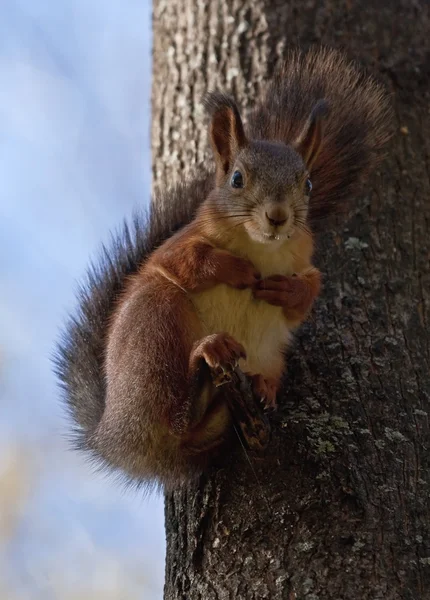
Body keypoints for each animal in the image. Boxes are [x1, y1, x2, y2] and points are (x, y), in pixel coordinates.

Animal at [54, 47, 394, 488]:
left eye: (307, 185)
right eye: (237, 179)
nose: (278, 217)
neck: (261, 246)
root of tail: (115, 438)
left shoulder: (304, 261)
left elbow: (307, 295)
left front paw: (286, 290)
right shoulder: (176, 248)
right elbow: (189, 262)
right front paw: (235, 268)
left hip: (267, 355)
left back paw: (258, 388)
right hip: (154, 327)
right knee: (173, 415)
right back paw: (205, 361)